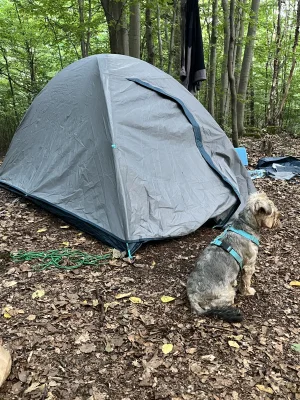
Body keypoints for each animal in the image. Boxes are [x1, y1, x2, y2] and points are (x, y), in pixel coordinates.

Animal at [188, 192, 282, 324]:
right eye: (273, 212)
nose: (280, 218)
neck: (245, 225)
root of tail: (193, 297)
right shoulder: (249, 265)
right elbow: (246, 281)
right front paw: (248, 292)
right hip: (227, 295)